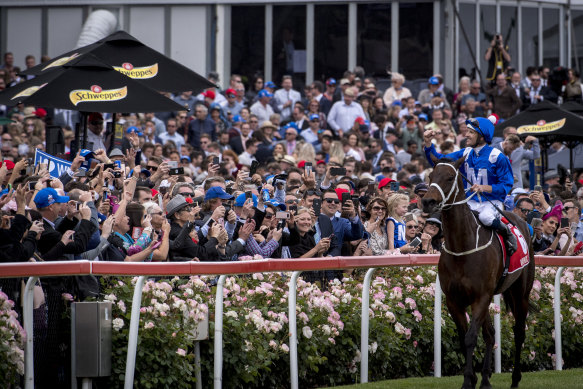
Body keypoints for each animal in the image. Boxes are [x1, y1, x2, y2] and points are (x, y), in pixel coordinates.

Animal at [422, 155, 536, 388]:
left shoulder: (481, 297)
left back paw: (515, 378)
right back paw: (485, 378)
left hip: (520, 292)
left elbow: (471, 337)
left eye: (449, 177)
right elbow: (464, 336)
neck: (462, 248)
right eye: (431, 176)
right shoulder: (454, 300)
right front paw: (474, 377)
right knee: (491, 334)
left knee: (519, 332)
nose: (428, 202)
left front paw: (468, 380)